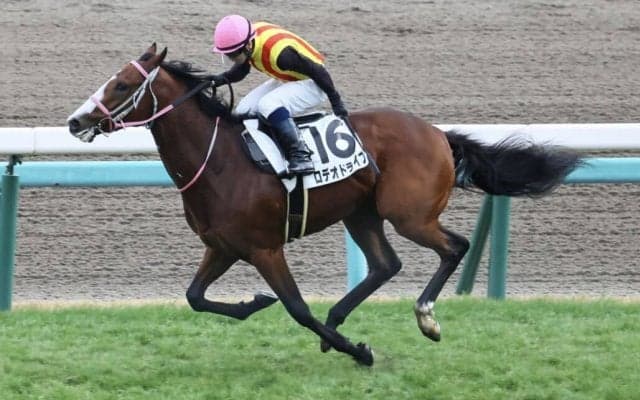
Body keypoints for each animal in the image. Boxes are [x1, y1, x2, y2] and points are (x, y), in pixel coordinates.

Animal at [67, 44, 582, 366]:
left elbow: (296, 309)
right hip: (361, 213)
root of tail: (438, 133)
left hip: (409, 214)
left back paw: (425, 318)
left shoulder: (265, 249)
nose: (75, 121)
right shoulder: (223, 246)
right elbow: (195, 297)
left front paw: (359, 351)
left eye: (121, 85)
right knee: (385, 264)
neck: (220, 161)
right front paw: (254, 303)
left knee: (453, 246)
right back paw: (340, 316)